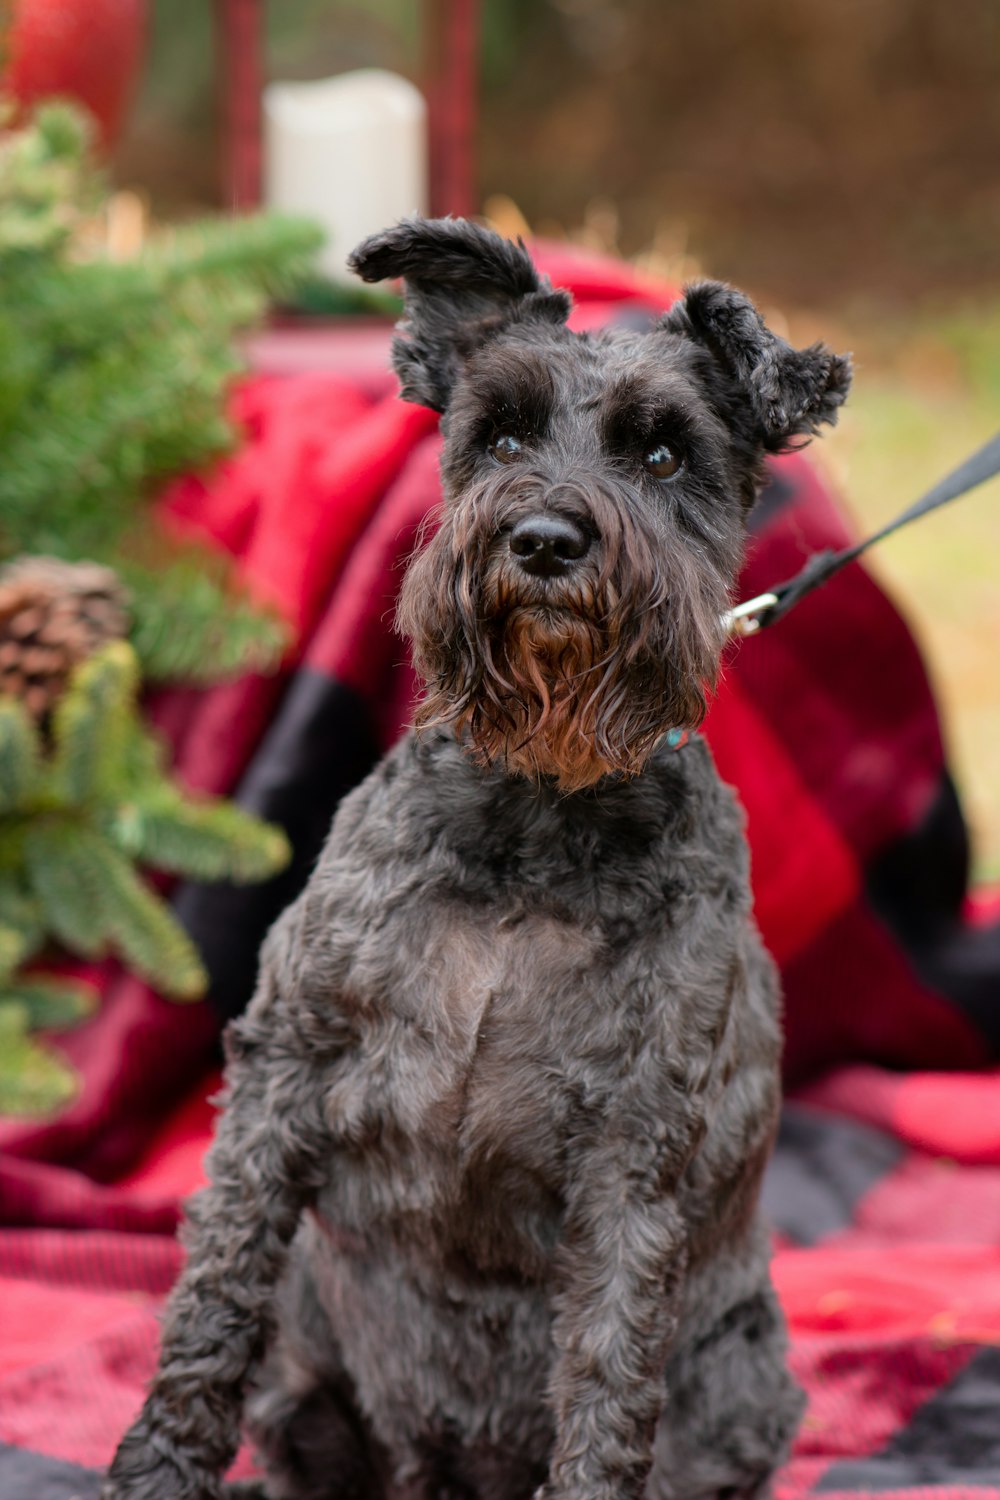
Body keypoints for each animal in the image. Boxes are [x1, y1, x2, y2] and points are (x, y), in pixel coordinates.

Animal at [101, 214, 851, 1500]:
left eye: (664, 455)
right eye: (497, 433)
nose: (544, 539)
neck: (532, 822)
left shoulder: (633, 1153)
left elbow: (606, 1381)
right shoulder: (282, 1069)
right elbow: (212, 1299)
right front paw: (158, 1471)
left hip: (747, 1382)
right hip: (310, 1360)